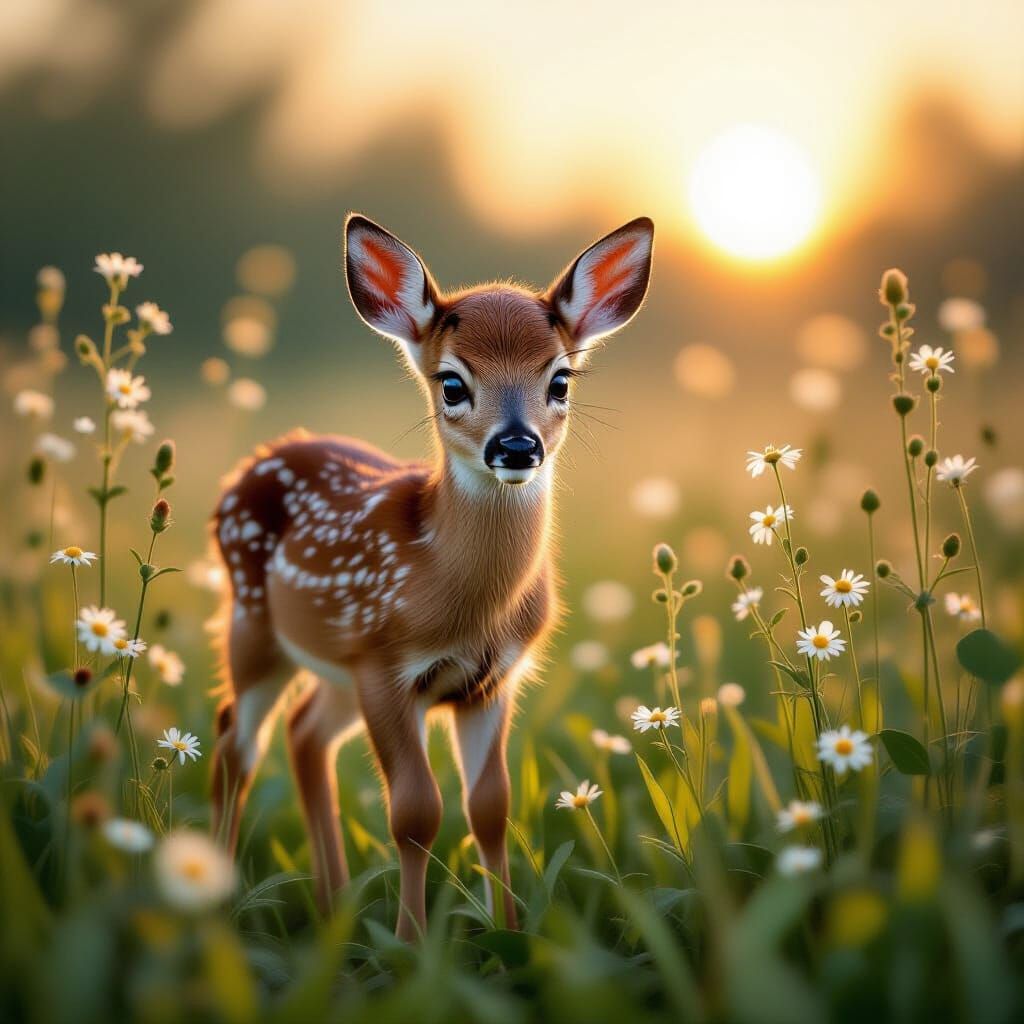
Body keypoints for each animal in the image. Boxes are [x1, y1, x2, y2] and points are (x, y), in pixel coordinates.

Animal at [209, 213, 654, 940]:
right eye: (452, 384)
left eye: (560, 380)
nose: (516, 446)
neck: (455, 595)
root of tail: (256, 461)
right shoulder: (384, 663)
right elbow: (416, 813)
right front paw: (411, 945)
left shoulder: (492, 680)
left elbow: (491, 808)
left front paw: (508, 934)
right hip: (255, 626)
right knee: (235, 743)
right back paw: (216, 902)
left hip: (334, 668)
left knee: (304, 733)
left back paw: (334, 908)